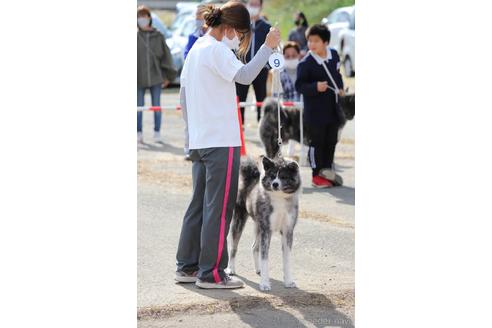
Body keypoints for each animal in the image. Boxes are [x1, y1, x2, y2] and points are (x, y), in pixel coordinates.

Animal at [226, 156, 300, 290]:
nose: (275, 184)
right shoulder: (267, 230)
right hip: (239, 220)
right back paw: (231, 269)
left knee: (254, 247)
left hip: (258, 227)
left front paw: (288, 281)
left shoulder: (288, 231)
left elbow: (287, 259)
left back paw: (258, 269)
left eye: (283, 177)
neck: (279, 199)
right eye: (272, 176)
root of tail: (251, 178)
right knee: (234, 247)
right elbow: (265, 258)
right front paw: (265, 283)